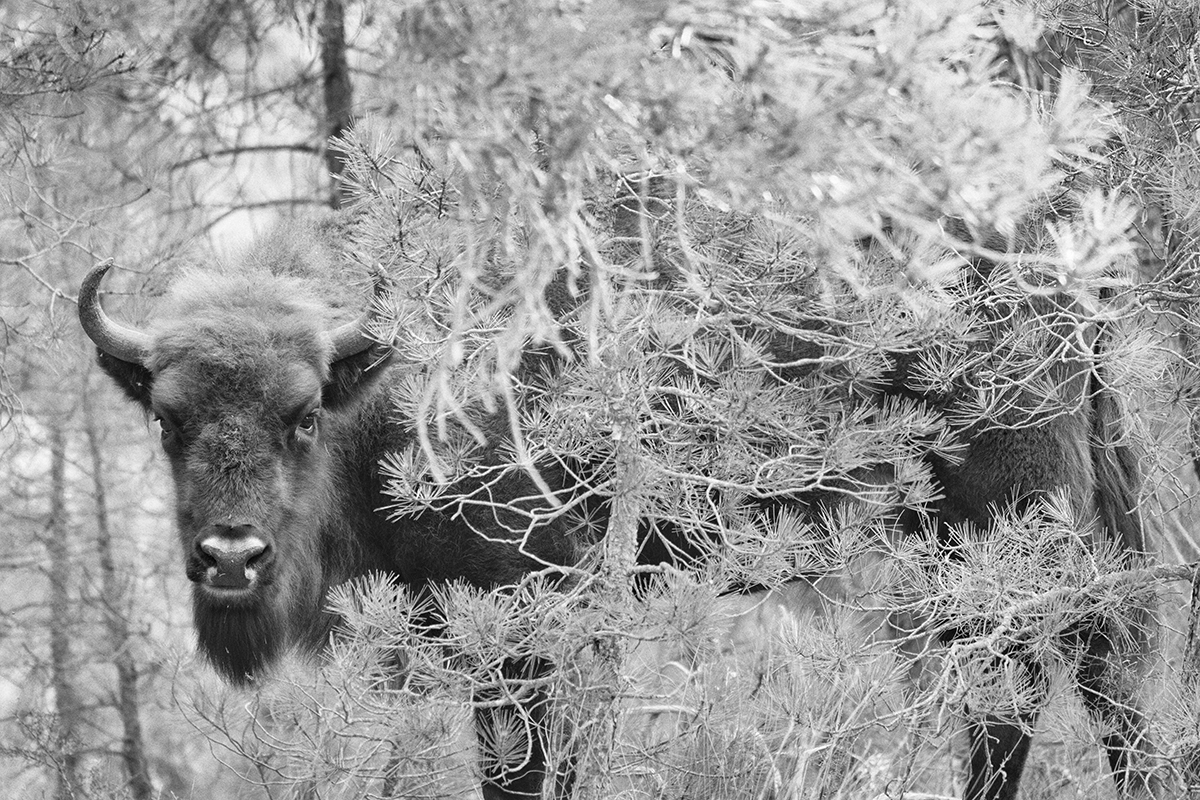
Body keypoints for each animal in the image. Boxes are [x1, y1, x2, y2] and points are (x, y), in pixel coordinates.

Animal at [80, 218, 1163, 800]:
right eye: (168, 420)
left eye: (302, 414)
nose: (230, 556)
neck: (395, 382)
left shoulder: (529, 621)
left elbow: (521, 767)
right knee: (1101, 663)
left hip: (1002, 526)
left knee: (1028, 678)